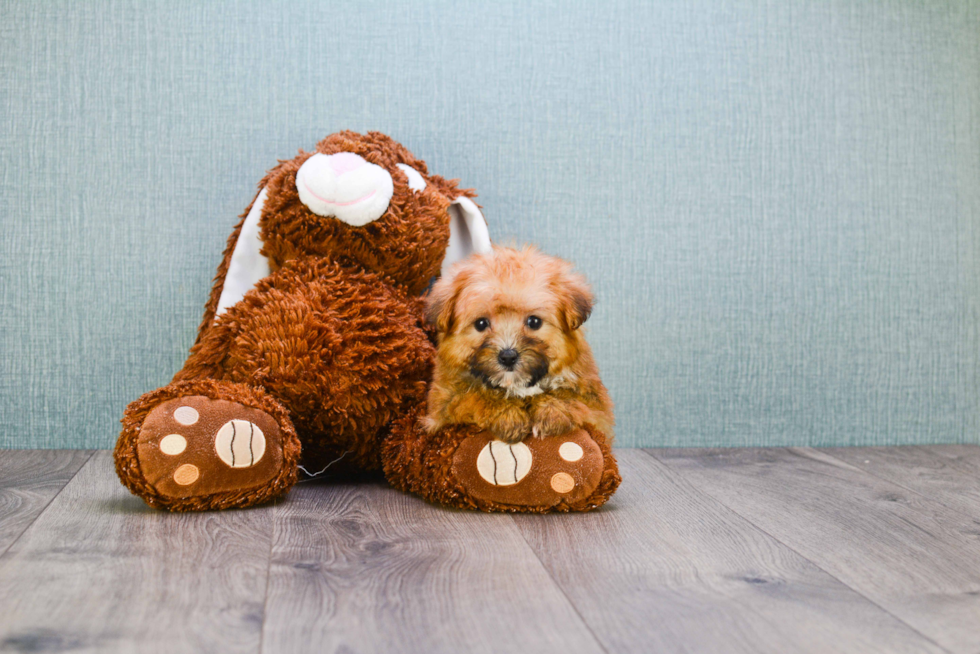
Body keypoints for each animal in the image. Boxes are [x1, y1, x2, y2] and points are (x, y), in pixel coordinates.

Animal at [424, 246, 612, 446]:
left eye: (534, 322)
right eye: (481, 324)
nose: (508, 356)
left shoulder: (597, 408)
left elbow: (572, 398)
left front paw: (551, 412)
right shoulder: (443, 405)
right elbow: (473, 396)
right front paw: (508, 416)